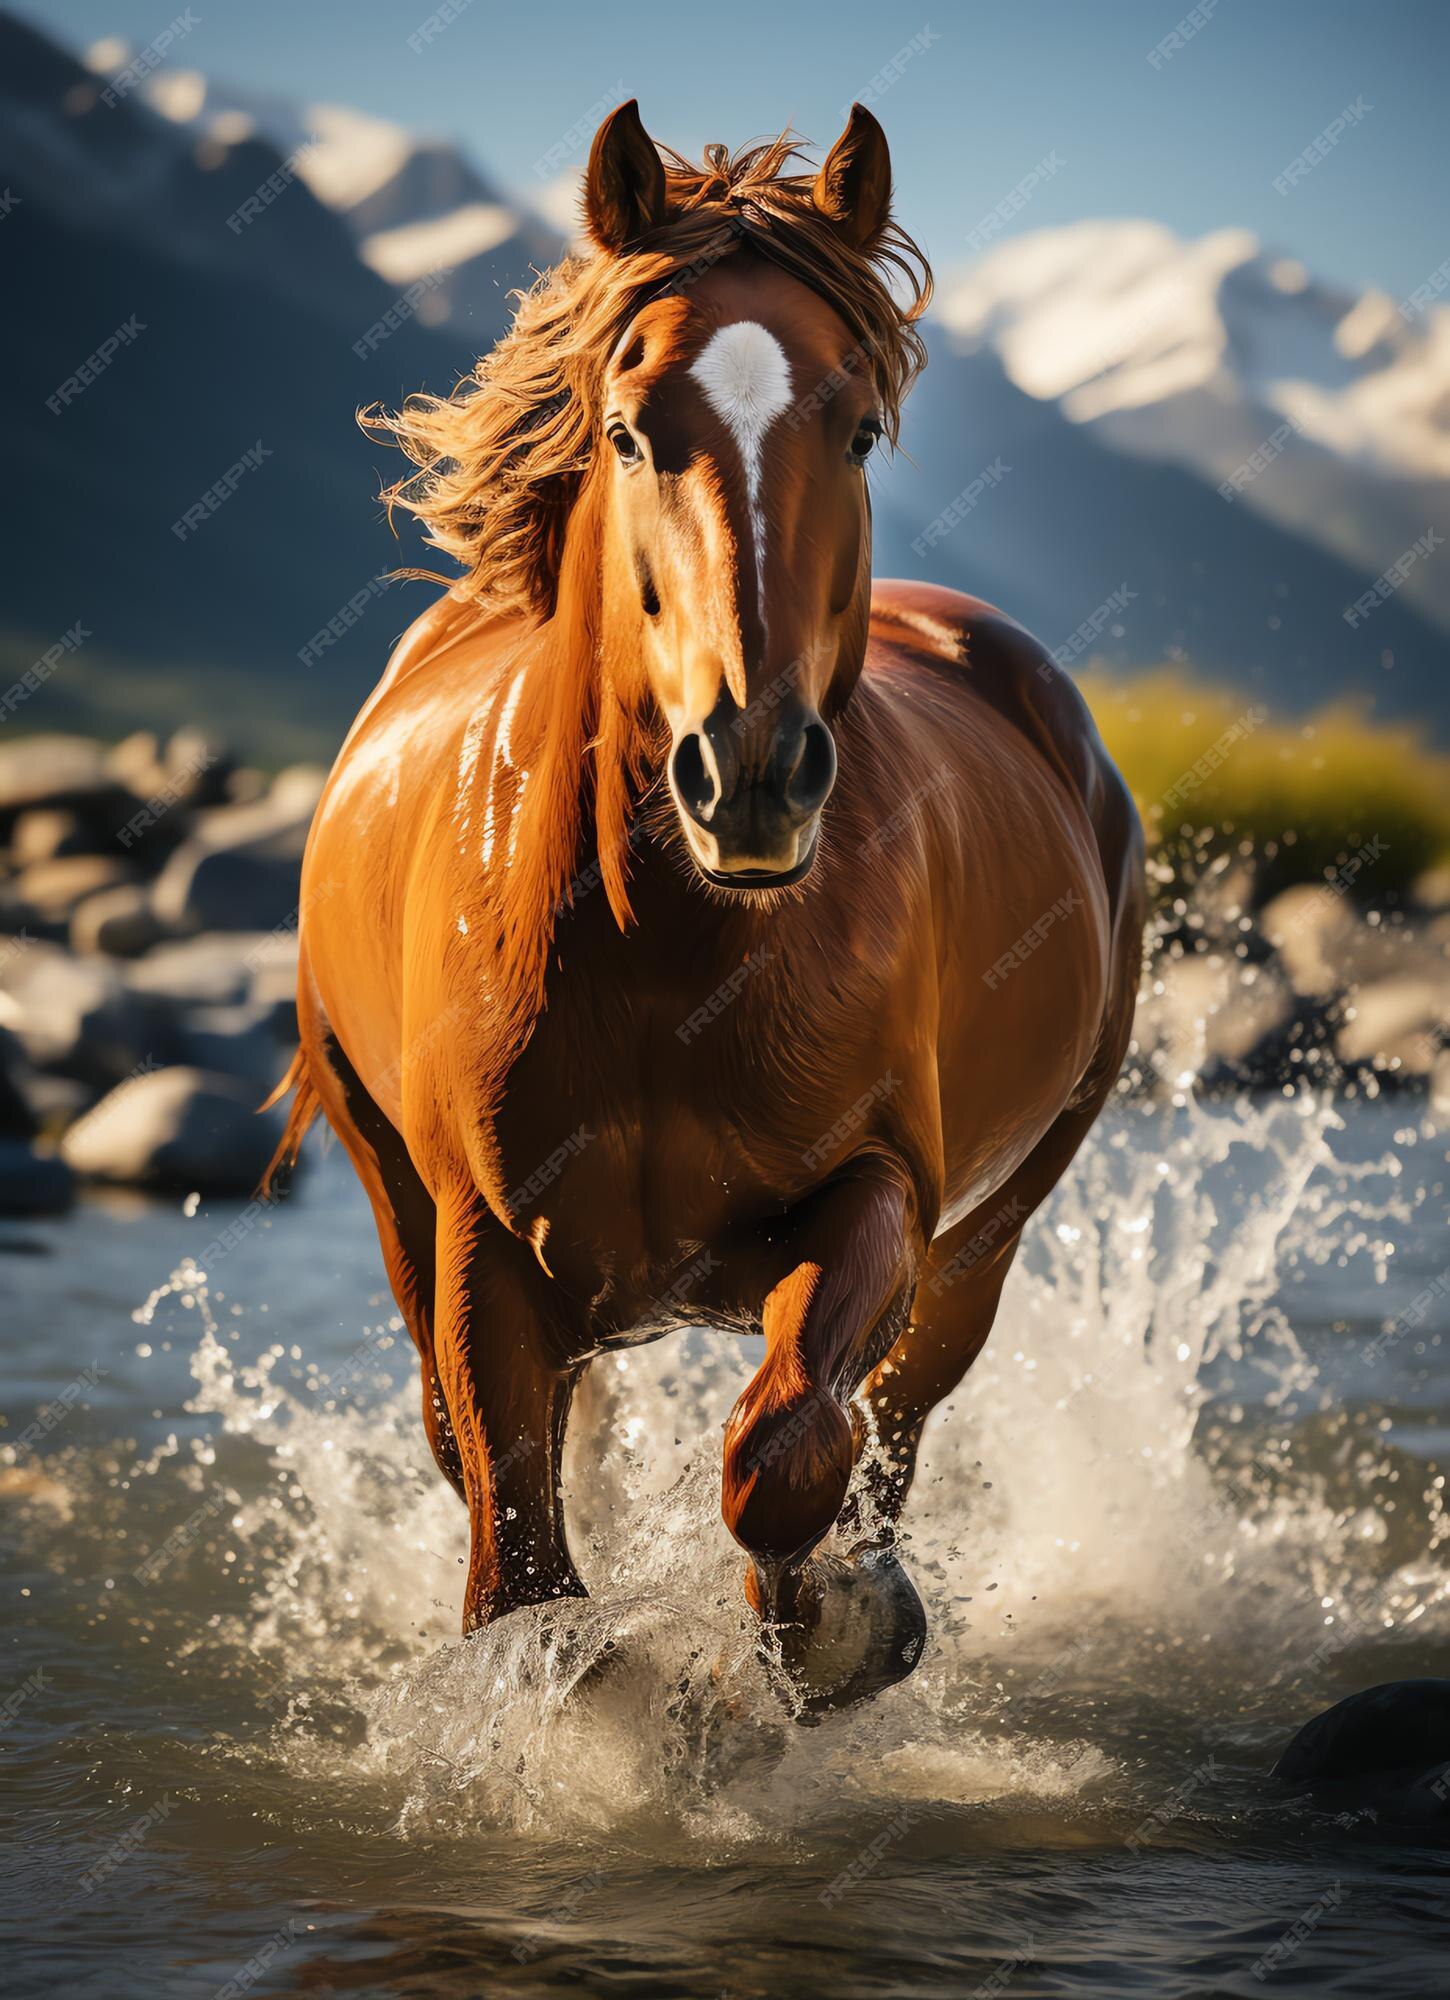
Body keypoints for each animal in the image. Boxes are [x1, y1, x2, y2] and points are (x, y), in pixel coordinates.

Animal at [272, 101, 1144, 1704]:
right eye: (628, 428)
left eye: (856, 427)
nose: (748, 774)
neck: (663, 960)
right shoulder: (483, 1256)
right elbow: (519, 1573)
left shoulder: (881, 1190)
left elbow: (783, 1453)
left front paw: (832, 1629)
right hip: (388, 1194)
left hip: (998, 1220)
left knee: (898, 1415)